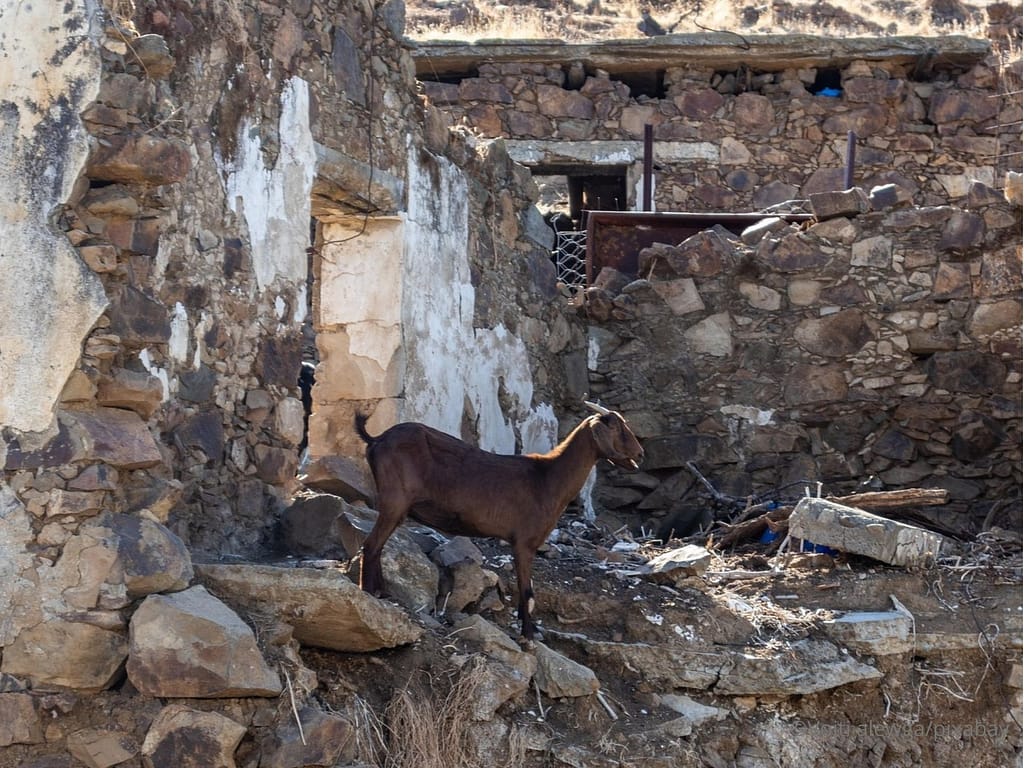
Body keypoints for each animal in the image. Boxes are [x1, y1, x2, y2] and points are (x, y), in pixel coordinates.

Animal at [354, 401, 644, 639]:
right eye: (617, 427)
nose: (640, 454)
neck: (547, 478)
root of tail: (377, 439)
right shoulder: (524, 542)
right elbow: (527, 591)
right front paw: (529, 634)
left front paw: (532, 630)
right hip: (394, 502)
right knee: (371, 545)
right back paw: (368, 592)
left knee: (377, 546)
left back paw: (380, 592)